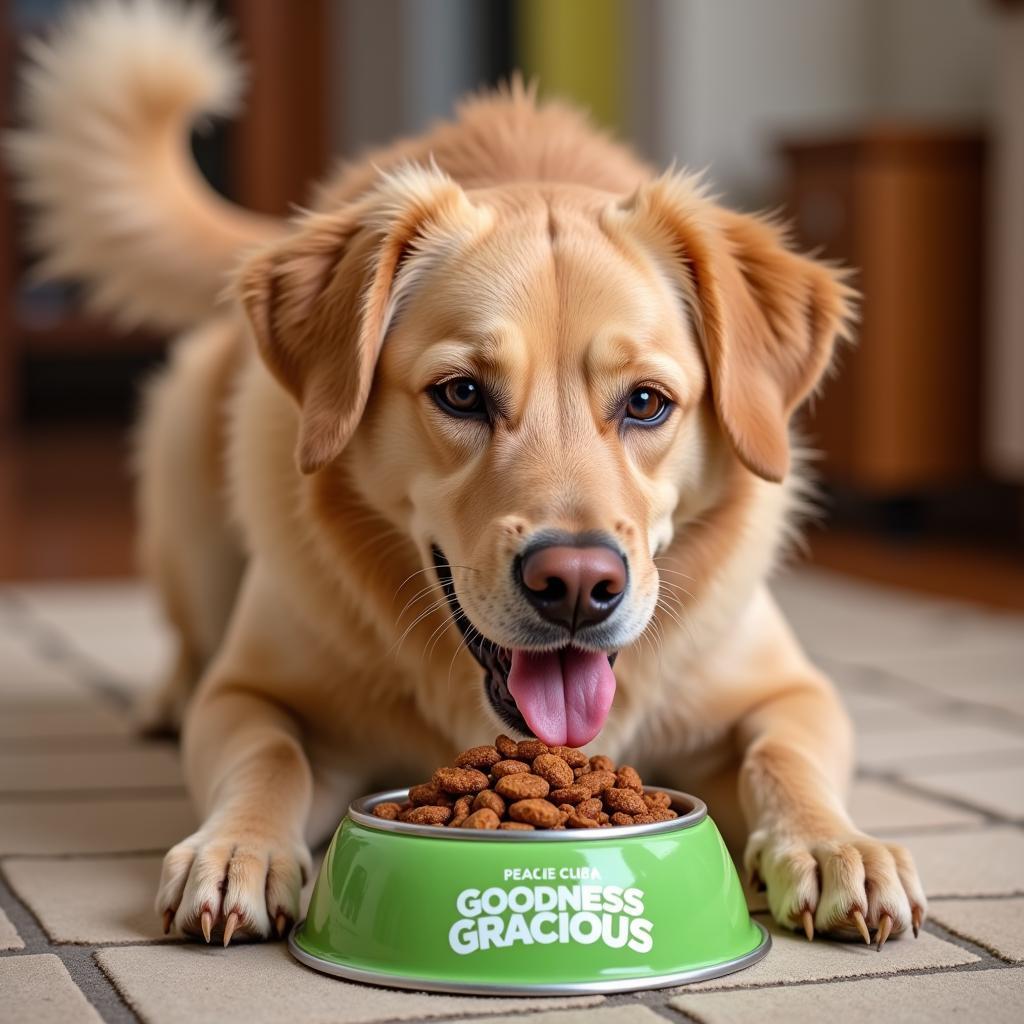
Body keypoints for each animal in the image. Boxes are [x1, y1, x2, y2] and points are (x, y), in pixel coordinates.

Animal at [8, 0, 925, 950]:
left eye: (646, 402)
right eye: (462, 393)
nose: (577, 586)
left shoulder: (791, 690)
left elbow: (784, 755)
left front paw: (834, 845)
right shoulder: (250, 691)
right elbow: (269, 754)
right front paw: (238, 849)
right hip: (184, 464)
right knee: (190, 642)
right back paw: (164, 698)